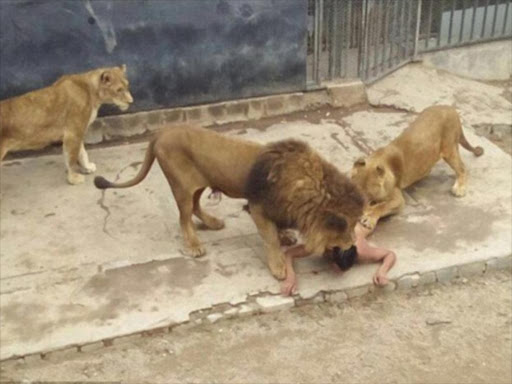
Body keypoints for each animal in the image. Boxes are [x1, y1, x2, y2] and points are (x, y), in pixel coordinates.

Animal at [0, 65, 132, 184]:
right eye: (119, 90)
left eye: (127, 86)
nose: (131, 101)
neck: (92, 92)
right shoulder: (73, 132)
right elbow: (72, 157)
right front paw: (74, 178)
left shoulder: (78, 130)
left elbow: (82, 152)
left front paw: (87, 167)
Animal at [350, 104, 482, 231]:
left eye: (369, 193)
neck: (376, 160)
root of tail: (451, 109)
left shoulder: (398, 199)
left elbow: (382, 206)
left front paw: (369, 218)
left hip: (449, 149)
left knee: (462, 168)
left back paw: (459, 188)